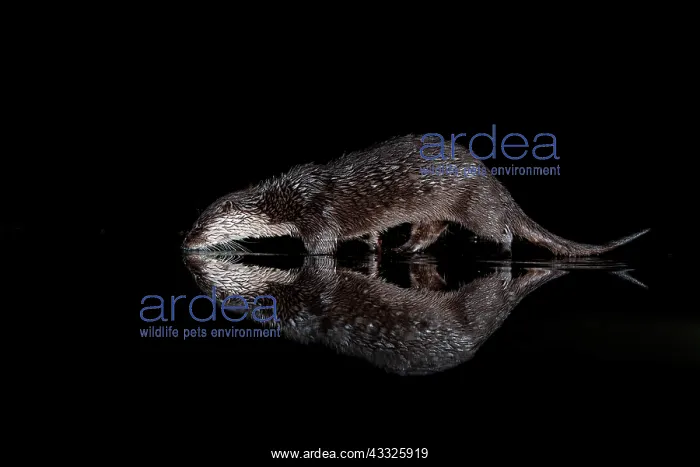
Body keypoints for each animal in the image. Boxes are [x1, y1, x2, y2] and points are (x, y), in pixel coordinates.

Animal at [182, 135, 649, 256]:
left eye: (199, 224)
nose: (184, 243)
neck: (287, 199)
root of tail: (496, 184)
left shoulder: (317, 214)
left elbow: (321, 249)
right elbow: (368, 235)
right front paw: (375, 247)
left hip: (474, 205)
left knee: (502, 231)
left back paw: (497, 247)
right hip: (435, 211)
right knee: (429, 231)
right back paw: (403, 250)